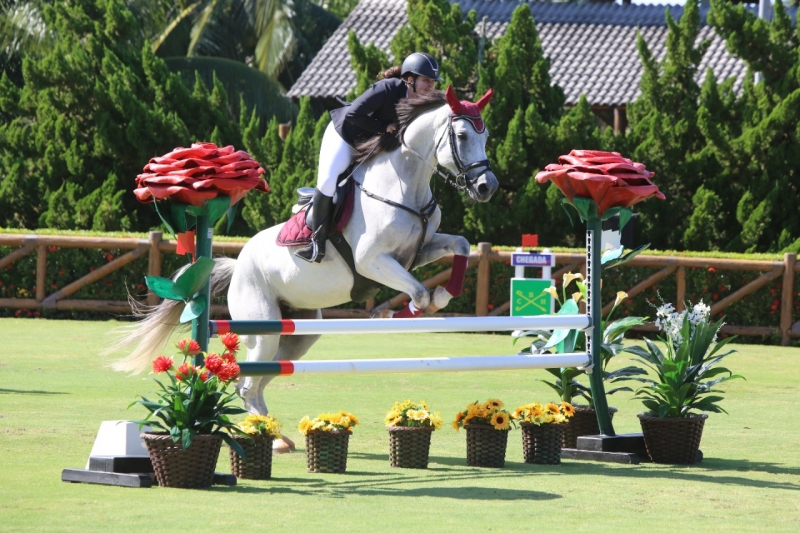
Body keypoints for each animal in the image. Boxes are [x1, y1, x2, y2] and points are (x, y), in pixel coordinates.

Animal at [113, 86, 498, 423]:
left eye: (486, 137)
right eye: (462, 135)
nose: (487, 187)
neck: (405, 185)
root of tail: (238, 265)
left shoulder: (415, 254)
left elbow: (460, 246)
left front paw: (442, 295)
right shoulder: (373, 261)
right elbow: (418, 292)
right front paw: (401, 312)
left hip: (297, 333)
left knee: (258, 381)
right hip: (263, 325)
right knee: (247, 383)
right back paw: (267, 435)